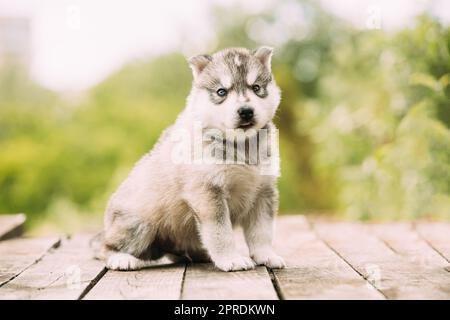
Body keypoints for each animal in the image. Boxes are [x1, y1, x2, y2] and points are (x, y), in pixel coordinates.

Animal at [101, 46, 284, 272]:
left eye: (256, 87)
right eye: (221, 92)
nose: (246, 111)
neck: (240, 145)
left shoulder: (263, 191)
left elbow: (262, 231)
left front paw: (266, 255)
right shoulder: (208, 192)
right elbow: (220, 232)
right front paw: (231, 258)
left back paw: (200, 254)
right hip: (138, 223)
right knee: (106, 247)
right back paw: (121, 258)